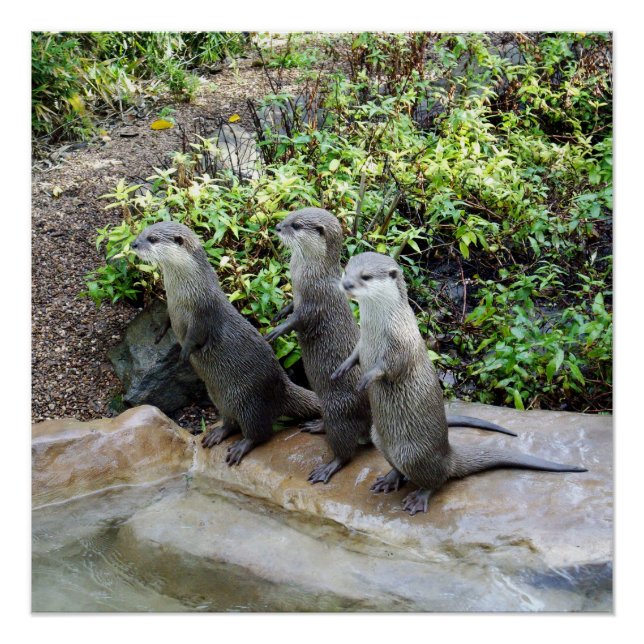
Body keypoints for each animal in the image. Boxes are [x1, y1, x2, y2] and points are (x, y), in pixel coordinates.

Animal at [131, 221, 322, 465]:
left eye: (153, 239)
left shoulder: (203, 313)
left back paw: (241, 447)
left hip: (251, 403)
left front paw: (183, 354)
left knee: (261, 433)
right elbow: (166, 319)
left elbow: (195, 336)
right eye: (143, 232)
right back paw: (218, 433)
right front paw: (160, 332)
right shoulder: (170, 306)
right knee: (232, 422)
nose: (134, 244)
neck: (184, 295)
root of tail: (282, 386)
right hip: (220, 398)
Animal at [266, 208, 516, 484]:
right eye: (289, 216)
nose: (277, 227)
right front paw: (281, 313)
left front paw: (278, 329)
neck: (307, 274)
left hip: (339, 410)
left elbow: (299, 319)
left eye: (297, 225)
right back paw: (317, 425)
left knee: (346, 448)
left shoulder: (316, 301)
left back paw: (330, 465)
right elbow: (292, 308)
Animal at [333, 252, 587, 515]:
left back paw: (419, 497)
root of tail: (447, 454)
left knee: (437, 479)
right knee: (400, 467)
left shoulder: (401, 344)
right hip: (379, 439)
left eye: (365, 276)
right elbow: (354, 355)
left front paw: (366, 378)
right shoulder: (362, 342)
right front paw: (342, 368)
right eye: (346, 271)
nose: (346, 284)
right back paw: (390, 479)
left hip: (413, 454)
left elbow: (389, 367)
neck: (379, 330)